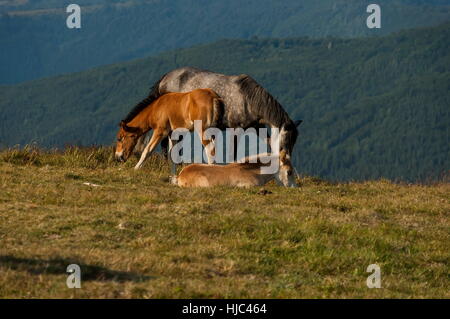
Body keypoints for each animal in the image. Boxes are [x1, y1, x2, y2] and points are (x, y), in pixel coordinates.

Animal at [127, 67, 302, 161]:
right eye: (287, 138)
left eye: (294, 142)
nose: (287, 158)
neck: (247, 99)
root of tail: (165, 78)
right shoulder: (235, 129)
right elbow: (232, 152)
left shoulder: (257, 127)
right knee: (165, 143)